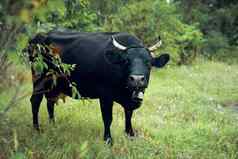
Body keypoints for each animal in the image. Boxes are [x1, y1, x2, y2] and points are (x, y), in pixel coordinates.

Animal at [27, 30, 169, 144]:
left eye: (149, 62)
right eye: (126, 61)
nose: (137, 79)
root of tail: (39, 36)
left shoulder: (130, 100)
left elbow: (129, 114)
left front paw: (130, 134)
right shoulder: (105, 96)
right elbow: (108, 118)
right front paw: (108, 140)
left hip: (54, 85)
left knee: (50, 102)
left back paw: (53, 126)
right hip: (39, 79)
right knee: (35, 101)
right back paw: (36, 129)